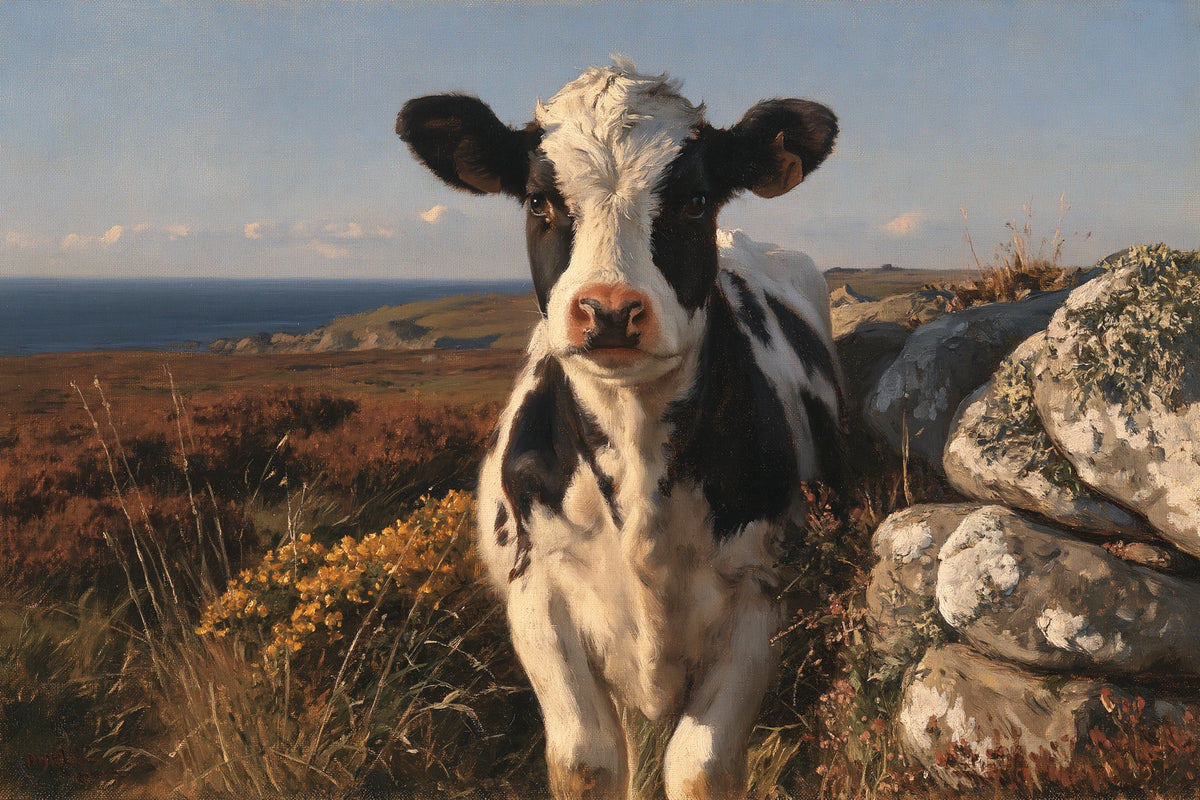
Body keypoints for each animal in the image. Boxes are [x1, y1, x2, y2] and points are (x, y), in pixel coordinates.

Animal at [397, 60, 841, 800]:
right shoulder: (539, 593)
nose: (607, 311)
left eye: (694, 199)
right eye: (539, 202)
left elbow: (701, 767)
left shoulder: (758, 594)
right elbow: (588, 760)